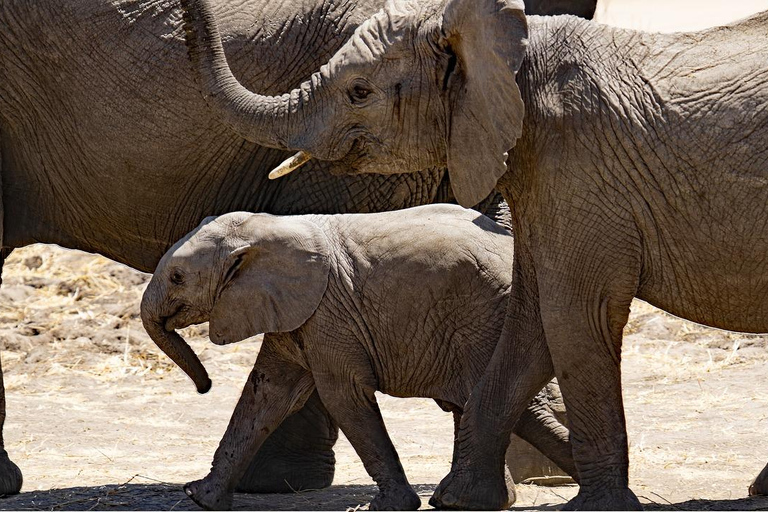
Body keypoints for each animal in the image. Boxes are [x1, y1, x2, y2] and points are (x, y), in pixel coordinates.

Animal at [141, 204, 572, 508]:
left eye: (177, 277)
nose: (205, 386)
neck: (265, 228)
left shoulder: (328, 313)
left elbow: (343, 395)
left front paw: (388, 508)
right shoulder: (297, 311)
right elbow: (266, 394)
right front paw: (200, 496)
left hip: (485, 318)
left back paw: (458, 500)